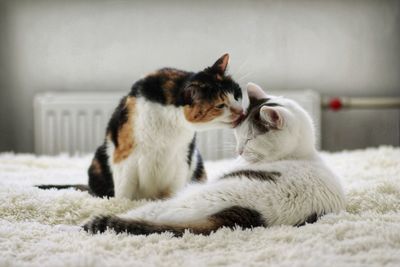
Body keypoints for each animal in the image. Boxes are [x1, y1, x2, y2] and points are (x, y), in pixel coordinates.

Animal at [38, 54, 244, 200]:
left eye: (237, 95)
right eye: (220, 105)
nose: (241, 111)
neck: (170, 126)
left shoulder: (182, 155)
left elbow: (175, 186)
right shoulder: (125, 154)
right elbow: (124, 189)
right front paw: (121, 206)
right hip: (99, 158)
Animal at [83, 83, 346, 237]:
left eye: (249, 139)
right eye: (237, 136)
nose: (239, 151)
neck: (302, 154)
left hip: (186, 199)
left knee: (147, 212)